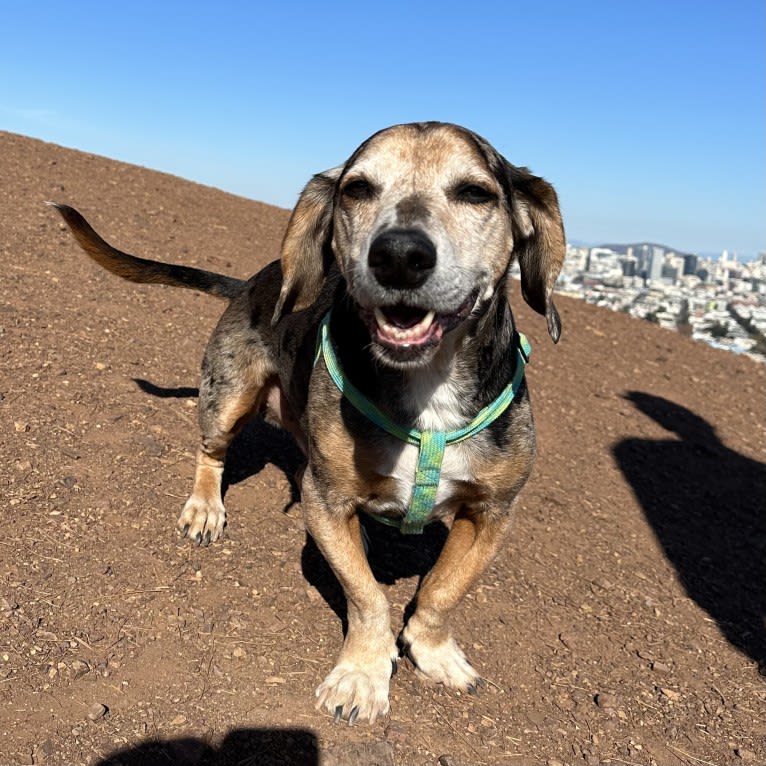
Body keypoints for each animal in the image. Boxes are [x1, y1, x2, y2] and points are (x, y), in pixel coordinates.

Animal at [51, 120, 568, 728]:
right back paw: (205, 508)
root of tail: (255, 281)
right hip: (229, 399)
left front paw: (434, 653)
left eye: (475, 193)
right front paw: (362, 676)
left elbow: (444, 591)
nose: (398, 255)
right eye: (357, 189)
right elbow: (367, 597)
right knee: (211, 452)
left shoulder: (492, 511)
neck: (427, 391)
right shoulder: (326, 500)